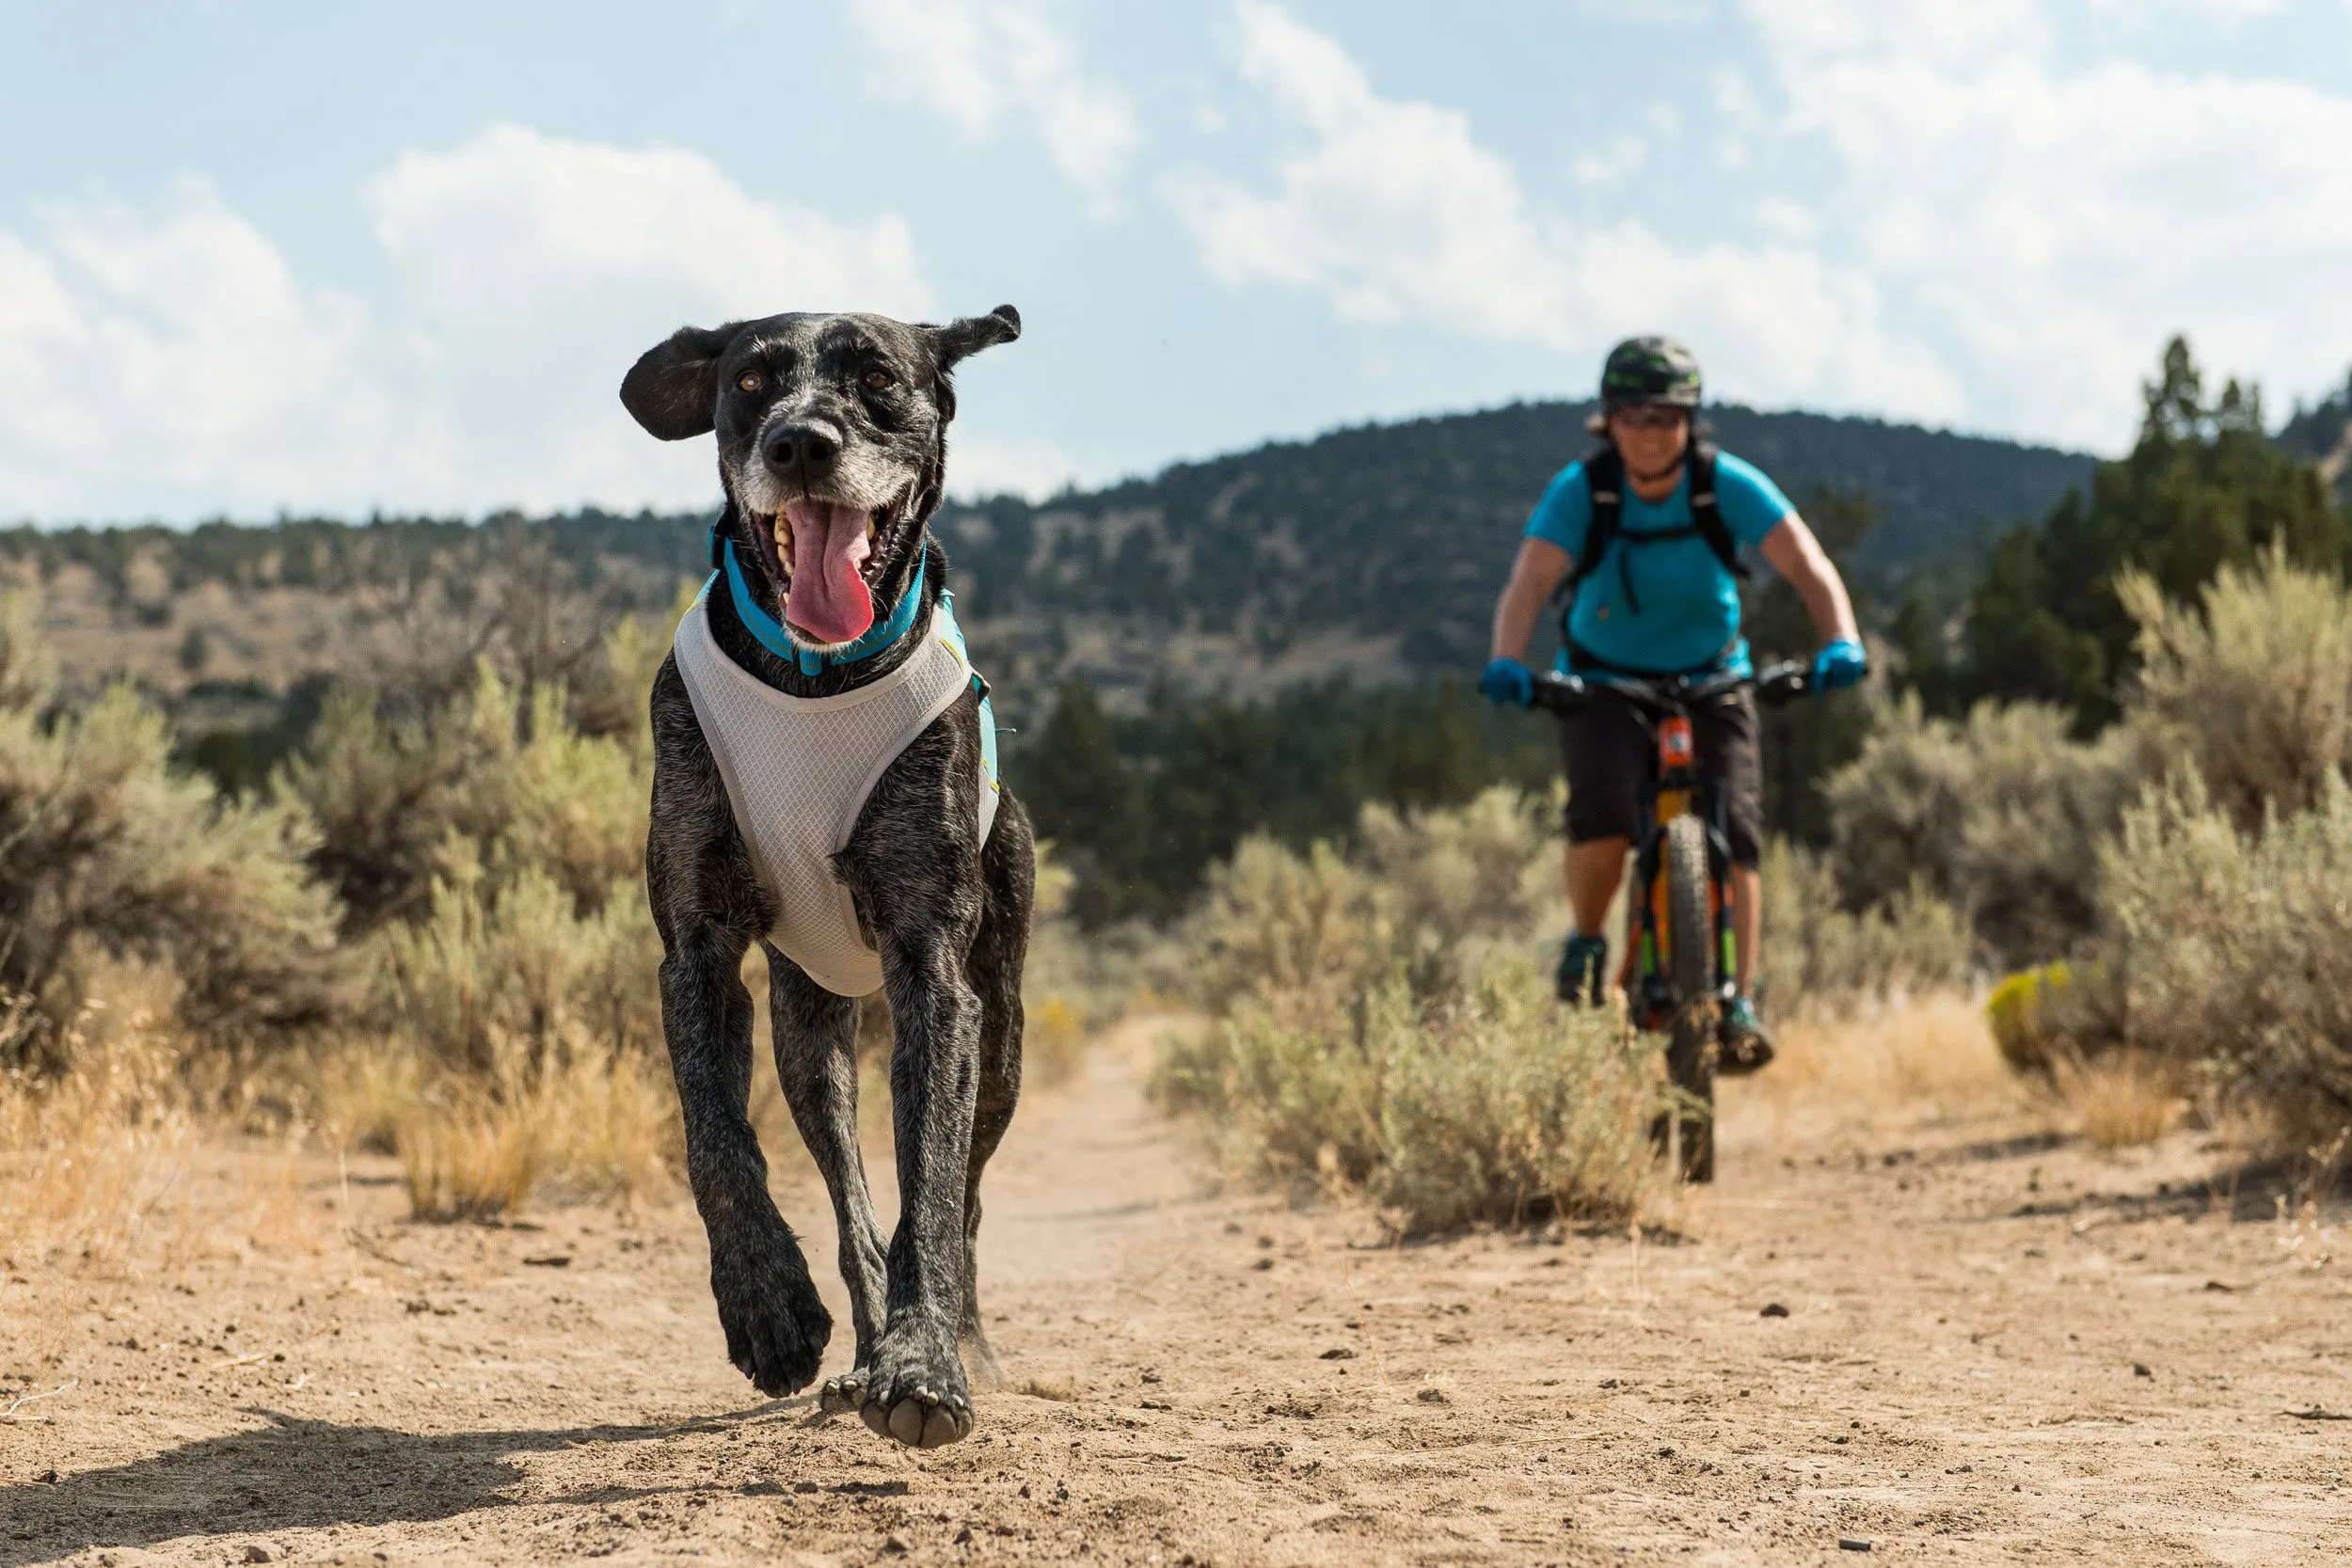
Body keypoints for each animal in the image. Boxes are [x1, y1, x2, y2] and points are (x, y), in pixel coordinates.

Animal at [621, 309, 1035, 1457]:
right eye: (750, 380)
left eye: (880, 377)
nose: (801, 443)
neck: (815, 676)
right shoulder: (696, 948)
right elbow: (714, 1139)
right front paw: (766, 1305)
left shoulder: (934, 966)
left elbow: (930, 1183)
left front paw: (928, 1363)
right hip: (812, 1036)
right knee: (850, 1201)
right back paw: (854, 1348)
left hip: (1003, 1035)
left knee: (963, 1197)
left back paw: (956, 1341)